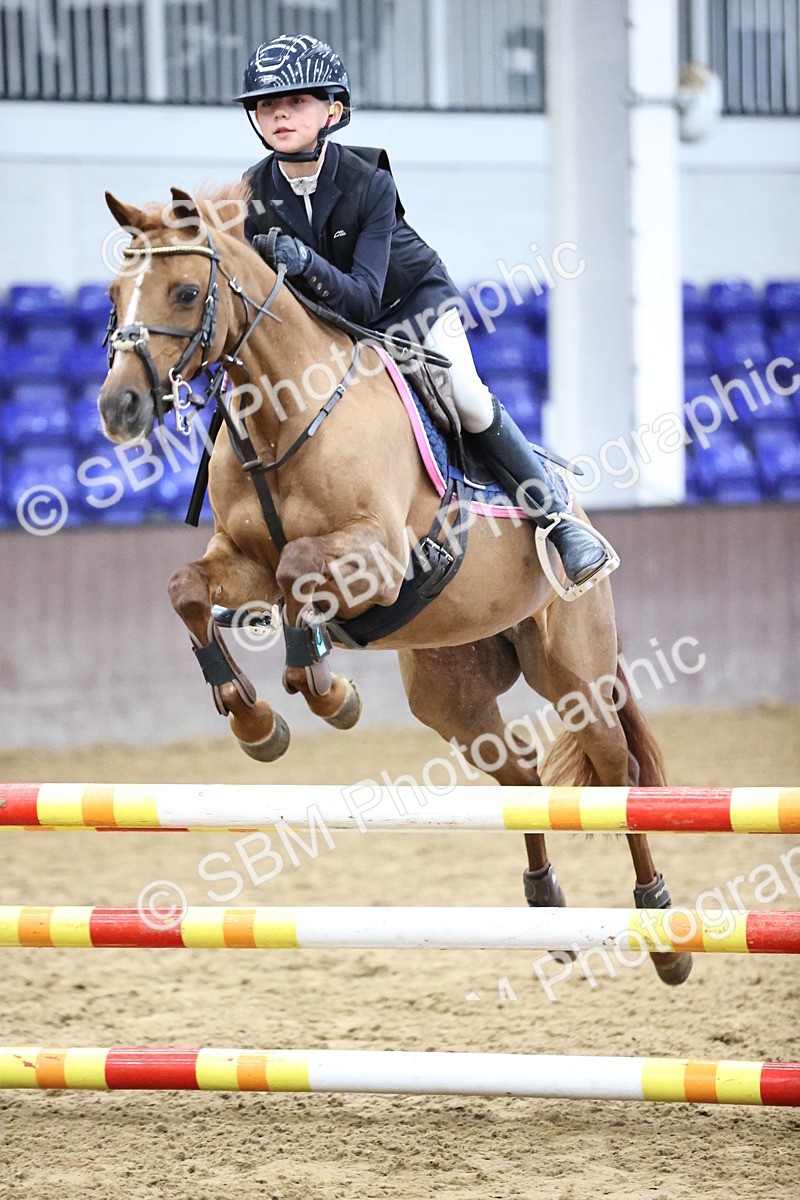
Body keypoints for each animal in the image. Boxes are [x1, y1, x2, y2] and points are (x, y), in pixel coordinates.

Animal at [97, 184, 691, 987]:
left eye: (187, 292)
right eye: (112, 294)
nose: (118, 408)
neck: (287, 413)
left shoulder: (376, 559)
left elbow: (297, 573)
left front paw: (329, 694)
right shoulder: (241, 561)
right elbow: (188, 588)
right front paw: (257, 722)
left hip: (576, 671)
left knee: (614, 769)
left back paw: (663, 931)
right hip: (451, 694)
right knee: (522, 773)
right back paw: (547, 905)